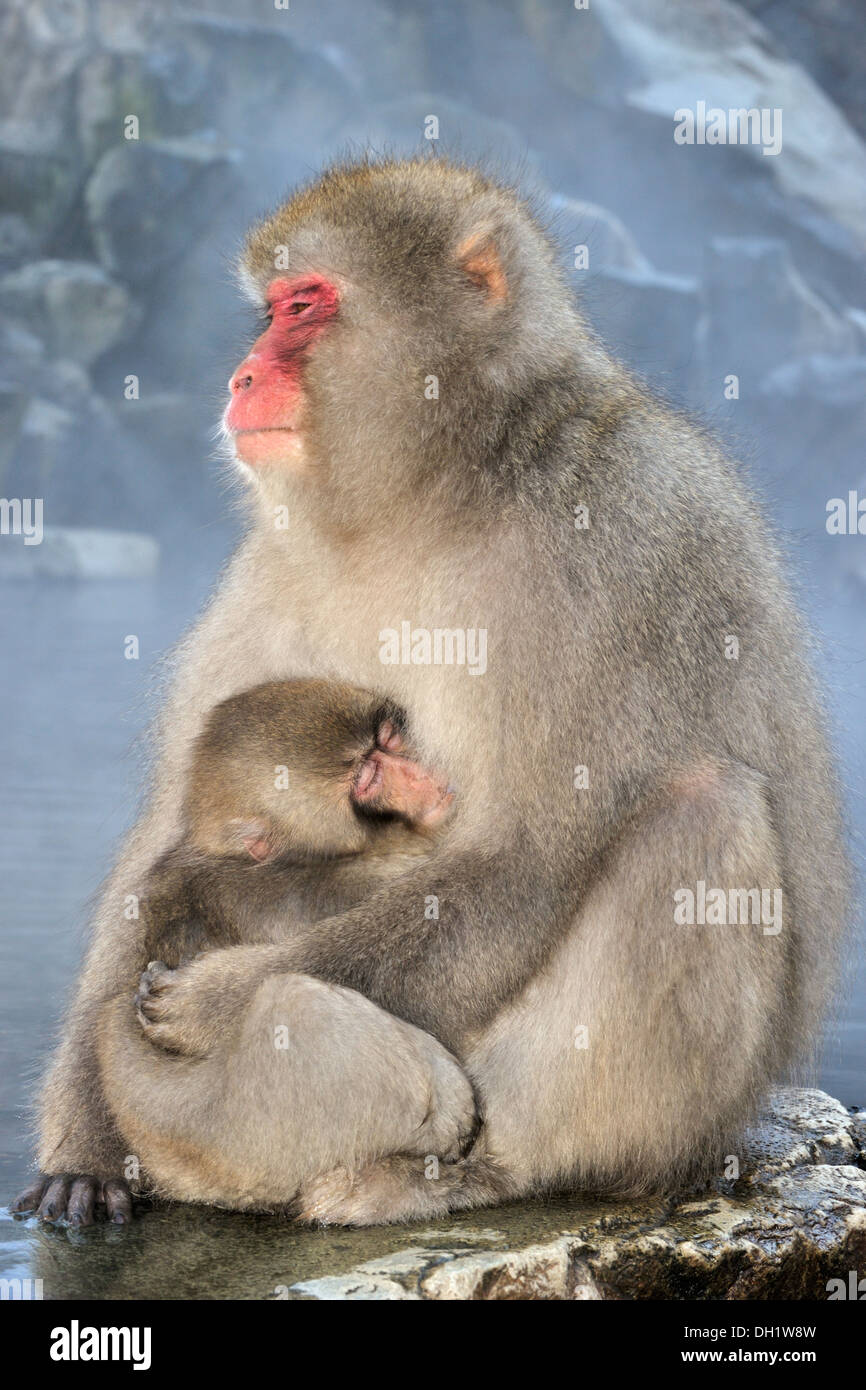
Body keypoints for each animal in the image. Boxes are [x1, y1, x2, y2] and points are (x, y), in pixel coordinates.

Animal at [16, 154, 850, 1228]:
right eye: (272, 310)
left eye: (306, 304)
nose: (242, 375)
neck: (438, 489)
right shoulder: (269, 568)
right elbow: (168, 839)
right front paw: (86, 1148)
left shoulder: (619, 532)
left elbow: (530, 855)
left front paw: (218, 1001)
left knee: (703, 808)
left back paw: (481, 1171)